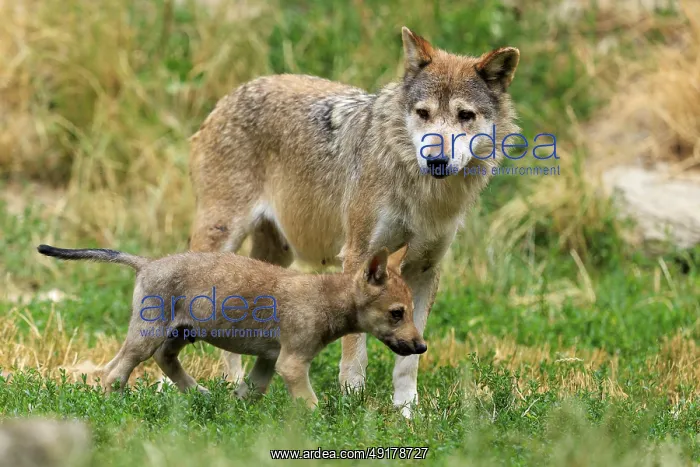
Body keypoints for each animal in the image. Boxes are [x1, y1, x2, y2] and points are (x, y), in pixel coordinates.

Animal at [188, 27, 520, 416]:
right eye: (423, 113)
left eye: (465, 115)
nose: (436, 161)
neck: (422, 195)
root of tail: (227, 98)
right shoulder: (359, 258)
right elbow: (355, 349)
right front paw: (352, 403)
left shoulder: (425, 270)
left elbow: (409, 362)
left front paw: (407, 412)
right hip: (220, 237)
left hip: (274, 256)